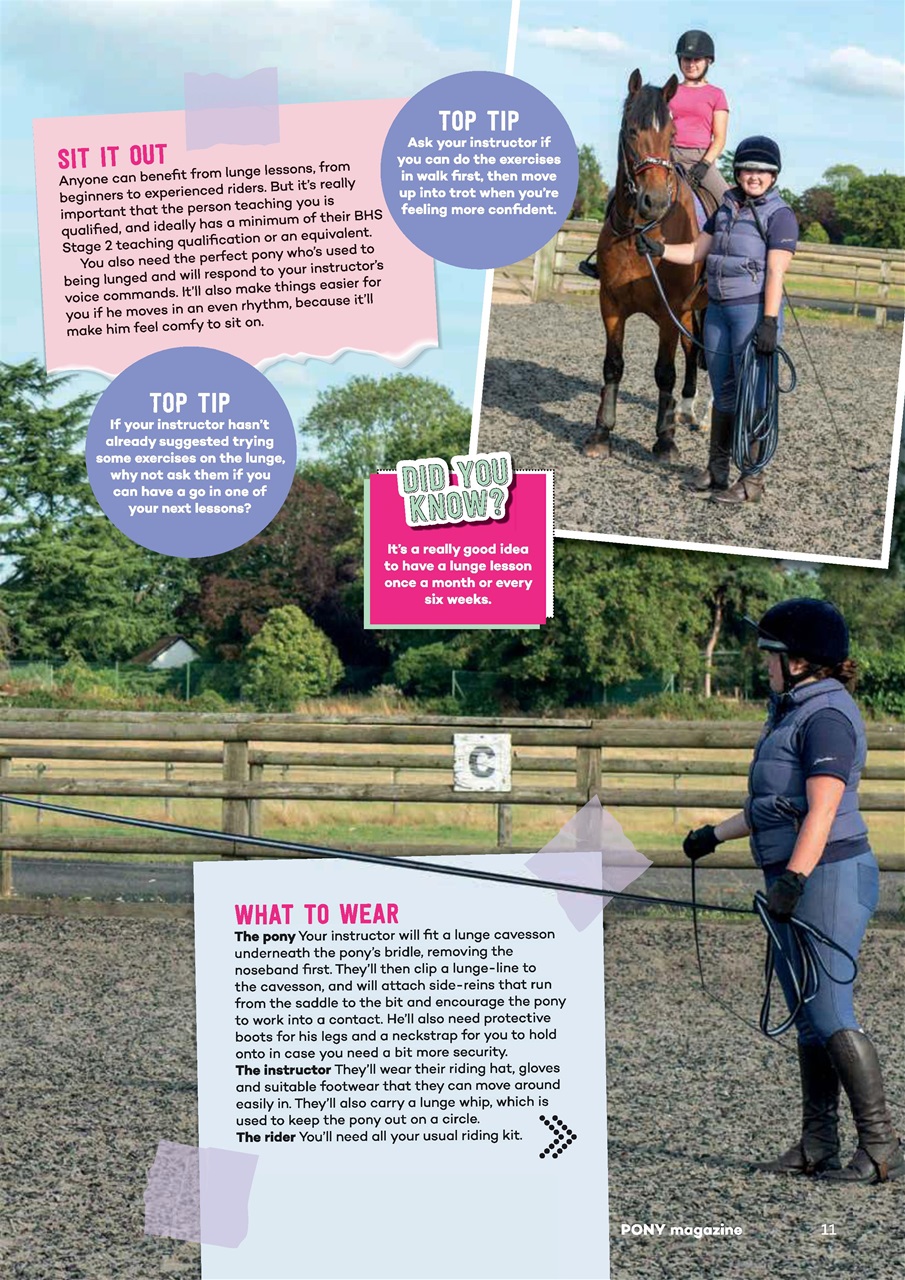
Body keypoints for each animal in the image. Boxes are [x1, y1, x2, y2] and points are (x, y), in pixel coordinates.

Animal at [584, 70, 706, 461]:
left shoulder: (669, 312)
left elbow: (664, 371)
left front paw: (665, 440)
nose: (654, 202)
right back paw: (685, 411)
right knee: (693, 348)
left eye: (672, 134)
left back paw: (694, 416)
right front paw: (601, 434)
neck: (641, 231)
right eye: (631, 129)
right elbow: (613, 366)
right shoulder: (610, 304)